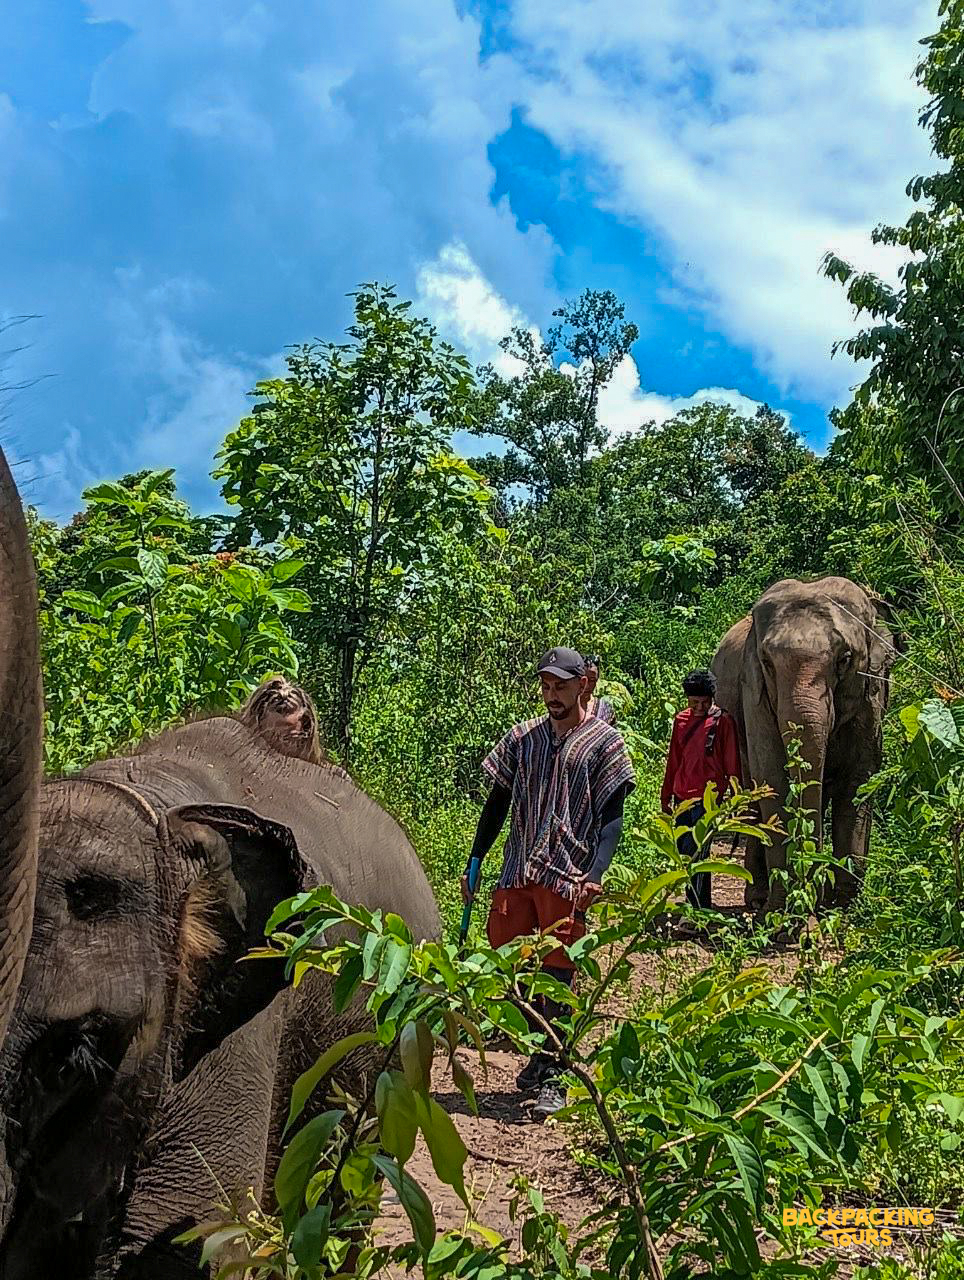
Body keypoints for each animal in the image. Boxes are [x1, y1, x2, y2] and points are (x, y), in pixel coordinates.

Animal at [712, 576, 896, 914]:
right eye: (768, 663)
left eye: (845, 659)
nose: (816, 898)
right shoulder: (753, 690)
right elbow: (772, 777)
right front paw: (783, 908)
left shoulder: (871, 698)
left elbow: (859, 781)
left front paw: (844, 907)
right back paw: (757, 899)